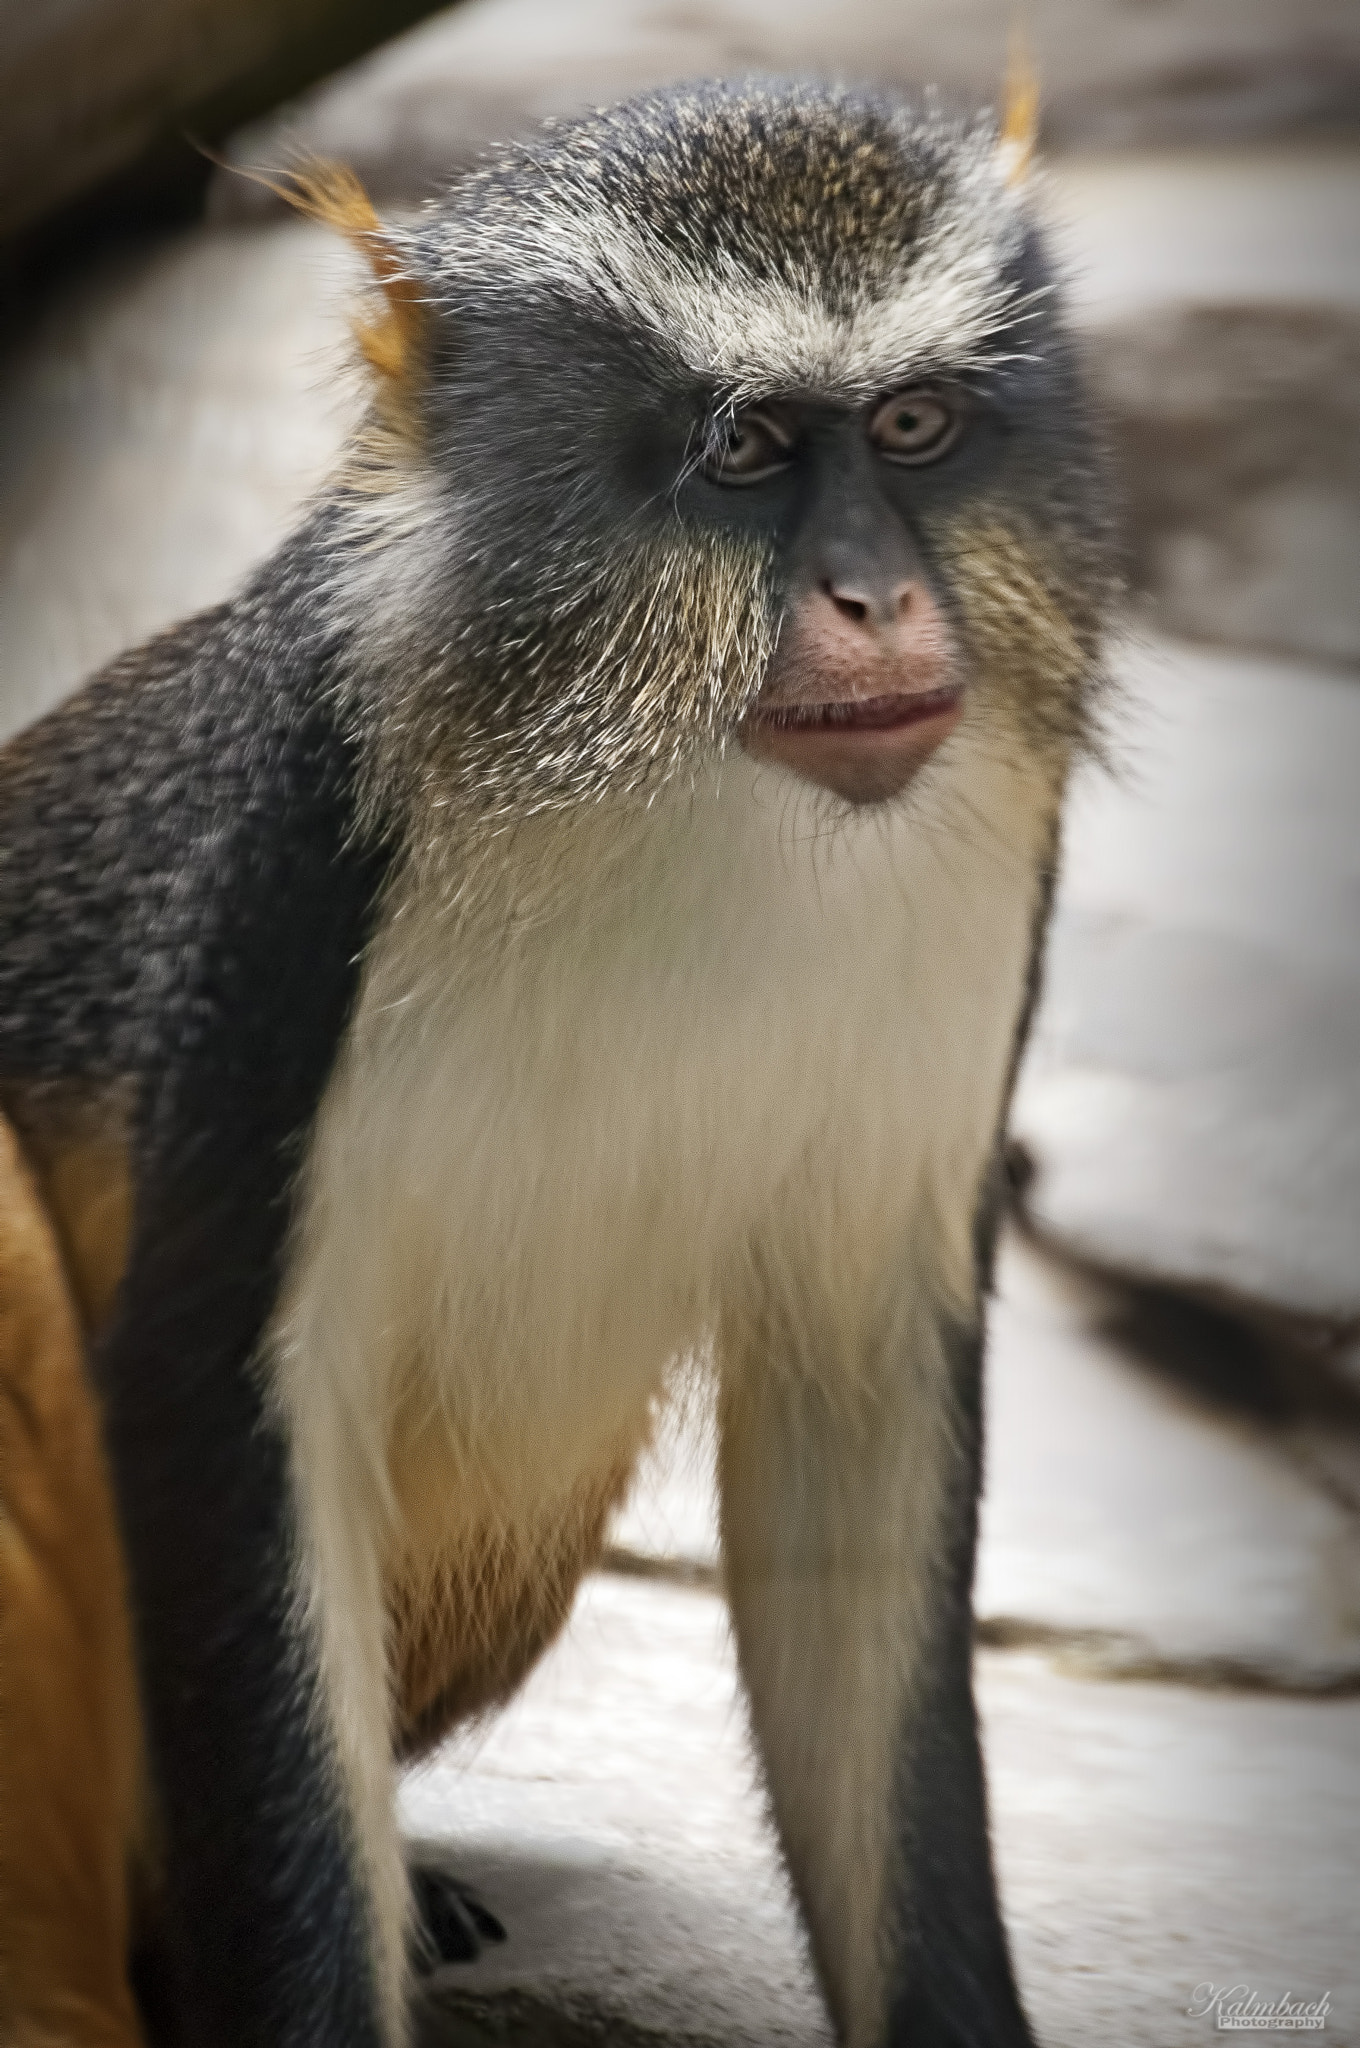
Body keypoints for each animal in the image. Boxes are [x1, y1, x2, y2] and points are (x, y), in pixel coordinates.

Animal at [0, 77, 1115, 2048]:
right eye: (748, 449)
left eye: (914, 426)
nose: (876, 599)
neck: (668, 772)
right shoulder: (300, 854)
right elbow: (226, 1393)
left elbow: (857, 1436)